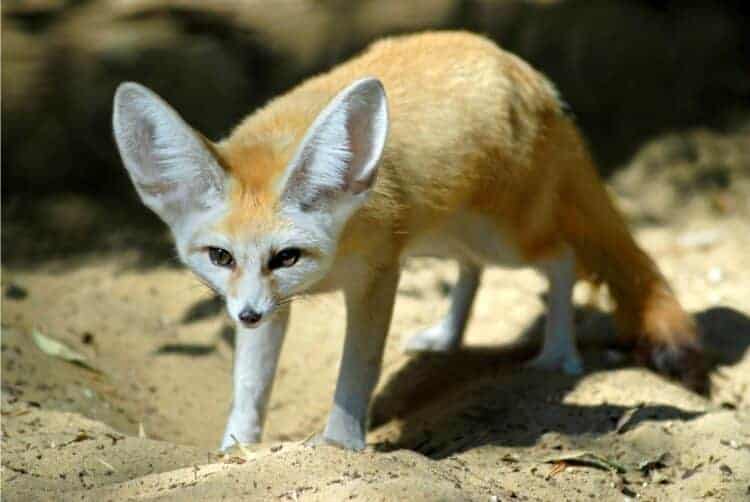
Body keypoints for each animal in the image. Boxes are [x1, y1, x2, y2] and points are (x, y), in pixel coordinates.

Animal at [112, 31, 705, 452]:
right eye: (220, 257)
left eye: (286, 256)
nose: (247, 316)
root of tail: (517, 65)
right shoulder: (277, 303)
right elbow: (250, 387)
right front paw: (235, 449)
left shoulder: (378, 278)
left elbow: (357, 370)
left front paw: (341, 443)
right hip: (441, 238)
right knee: (472, 269)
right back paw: (447, 336)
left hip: (501, 239)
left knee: (562, 261)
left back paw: (558, 354)